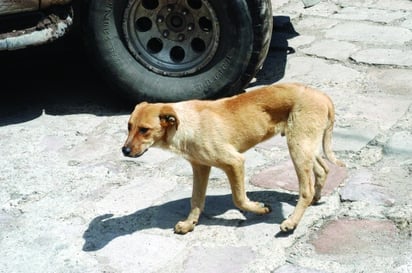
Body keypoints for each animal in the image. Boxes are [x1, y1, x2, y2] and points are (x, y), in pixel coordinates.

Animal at [121, 82, 344, 233]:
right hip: (305, 146)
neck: (187, 124)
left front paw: (259, 208)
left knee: (306, 189)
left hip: (298, 146)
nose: (124, 151)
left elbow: (239, 199)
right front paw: (189, 223)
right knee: (323, 169)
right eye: (129, 126)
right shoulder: (200, 167)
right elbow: (196, 199)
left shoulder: (234, 162)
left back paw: (292, 222)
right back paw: (315, 198)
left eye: (145, 130)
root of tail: (323, 96)